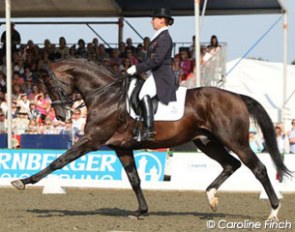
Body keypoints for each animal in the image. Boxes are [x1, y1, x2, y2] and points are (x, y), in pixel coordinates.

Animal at [11, 59, 292, 220]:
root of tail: (236, 96)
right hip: (206, 142)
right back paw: (211, 196)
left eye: (49, 85)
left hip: (234, 140)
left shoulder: (92, 140)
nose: (60, 115)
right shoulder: (120, 147)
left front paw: (23, 181)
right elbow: (134, 179)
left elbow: (57, 162)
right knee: (231, 164)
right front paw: (141, 211)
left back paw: (273, 211)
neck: (106, 95)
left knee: (258, 167)